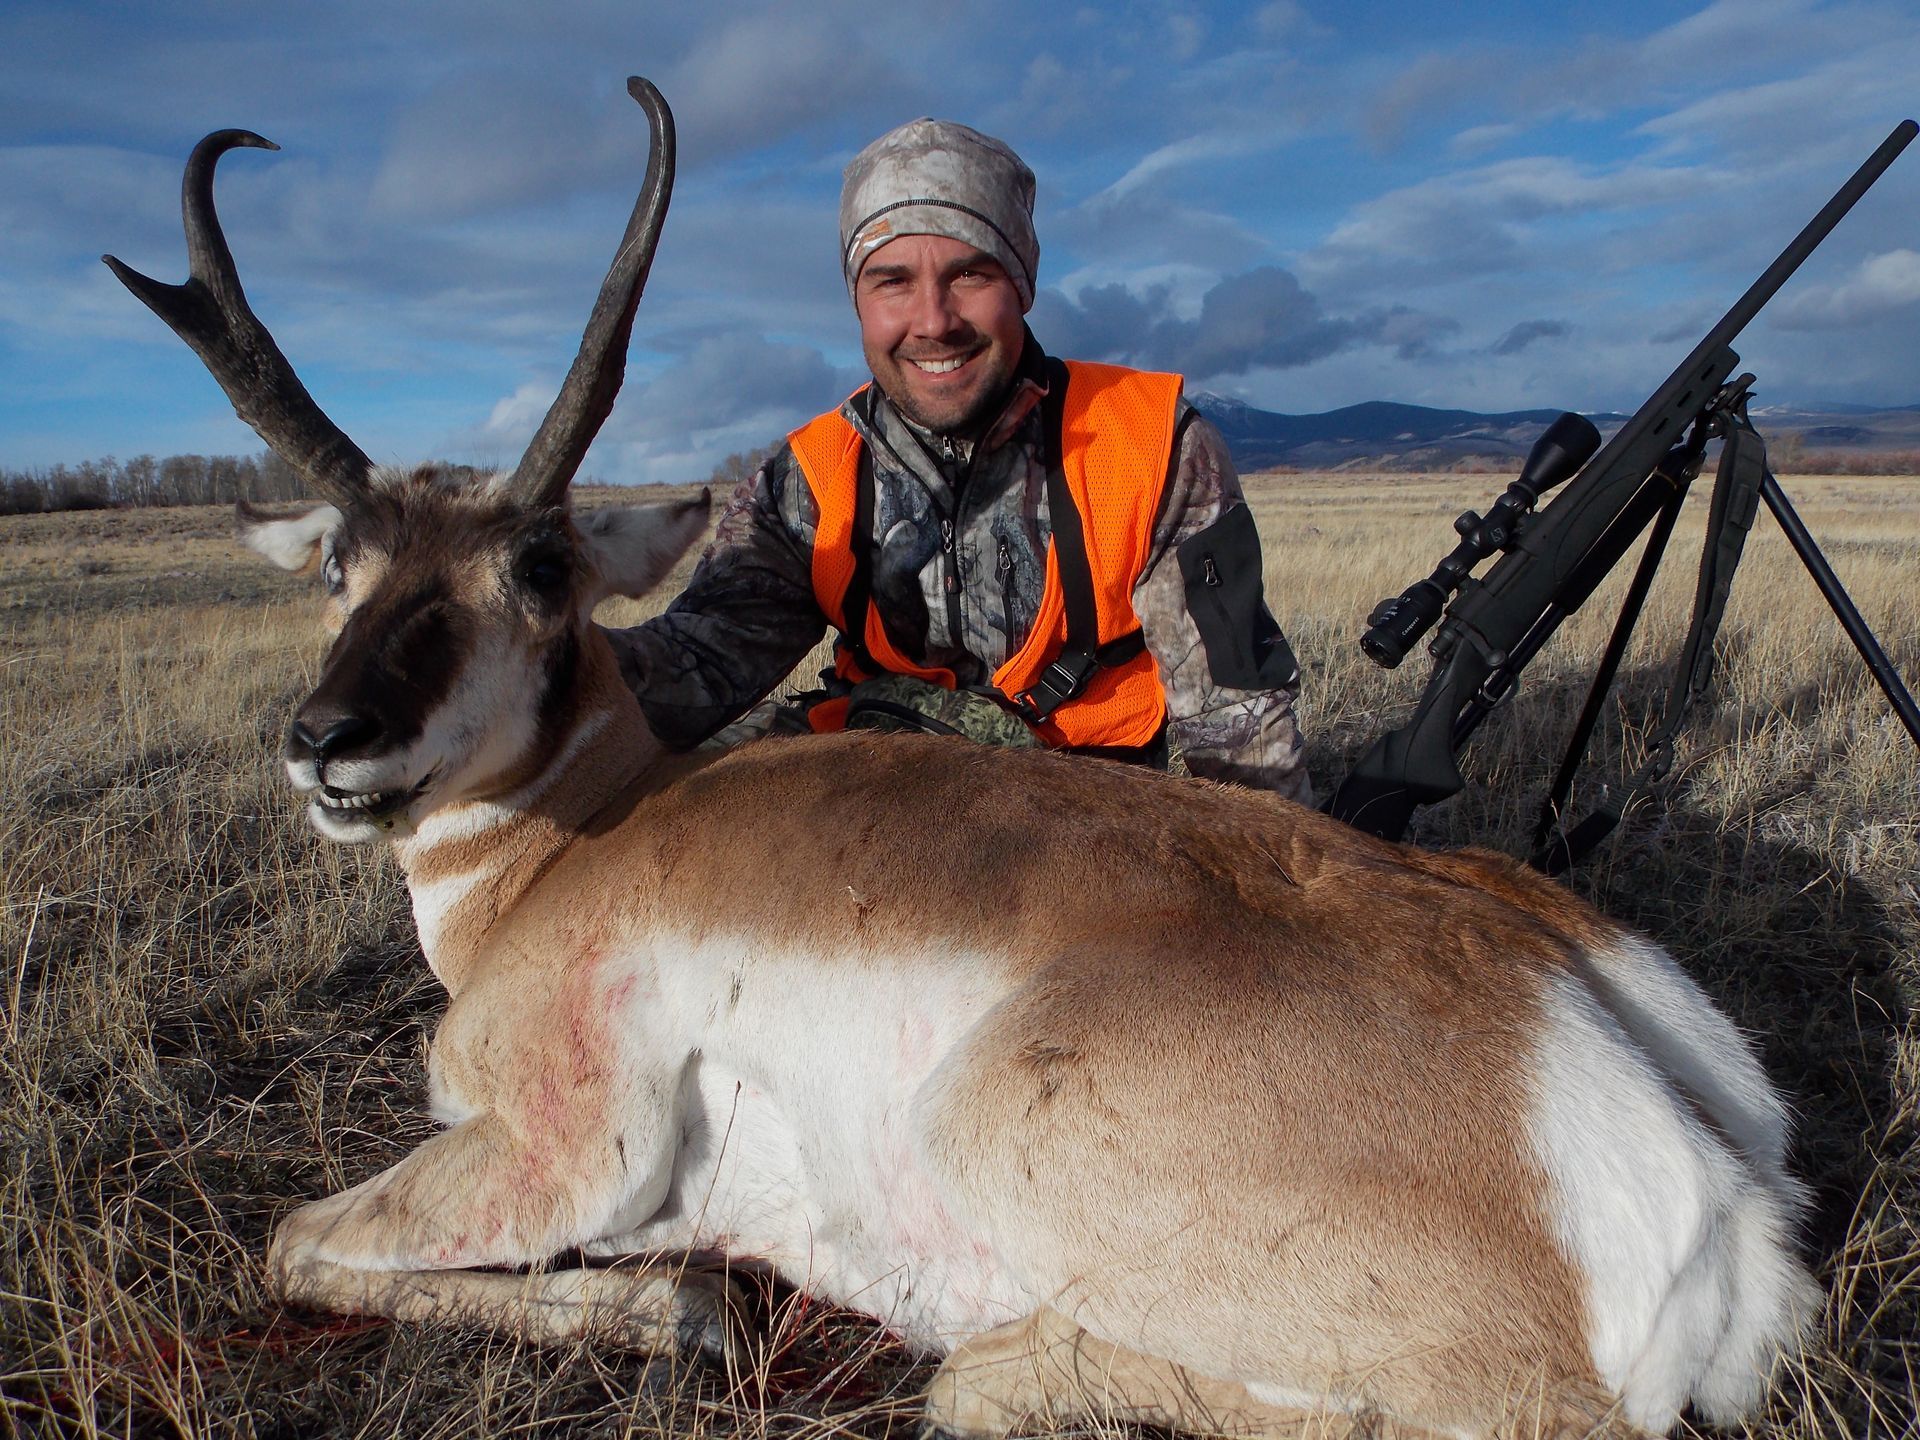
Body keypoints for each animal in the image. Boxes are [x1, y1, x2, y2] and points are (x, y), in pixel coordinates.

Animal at [108, 78, 1820, 1439]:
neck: (579, 840)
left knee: (996, 1386)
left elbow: (295, 1242)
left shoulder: (556, 1150)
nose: (327, 743)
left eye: (538, 568)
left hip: (1000, 1141)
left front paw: (680, 1306)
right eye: (340, 564)